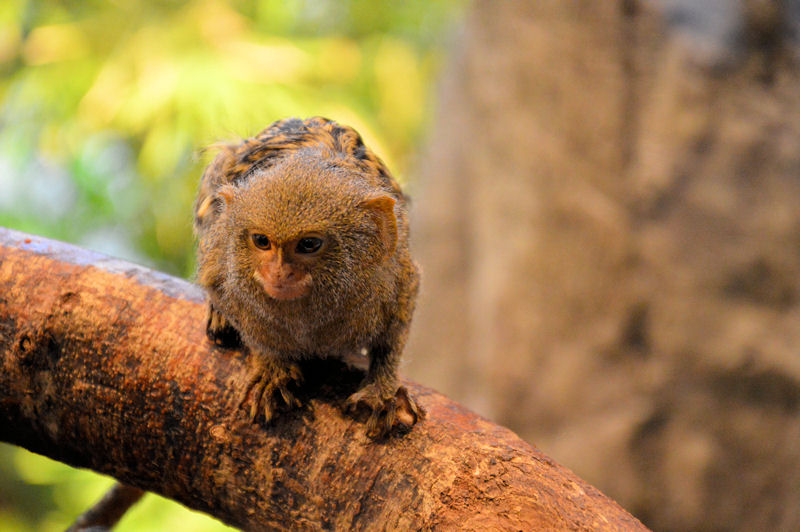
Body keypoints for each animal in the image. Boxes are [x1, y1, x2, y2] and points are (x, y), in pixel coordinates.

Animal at [193, 116, 424, 436]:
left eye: (309, 244)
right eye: (262, 241)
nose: (279, 271)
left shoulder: (396, 273)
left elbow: (394, 333)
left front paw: (383, 388)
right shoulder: (218, 264)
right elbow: (245, 320)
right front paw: (272, 366)